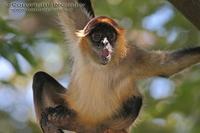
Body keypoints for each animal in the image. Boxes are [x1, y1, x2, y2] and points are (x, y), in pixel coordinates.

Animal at [32, 0, 200, 133]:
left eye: (110, 36)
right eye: (98, 36)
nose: (105, 43)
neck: (100, 65)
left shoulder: (130, 57)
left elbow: (168, 66)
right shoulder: (80, 36)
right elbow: (68, 4)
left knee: (136, 99)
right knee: (40, 78)